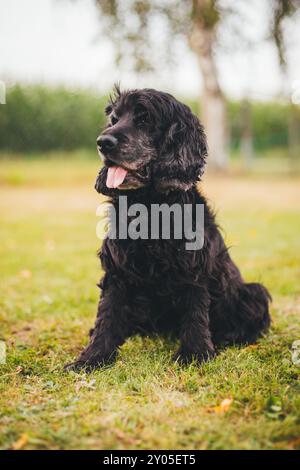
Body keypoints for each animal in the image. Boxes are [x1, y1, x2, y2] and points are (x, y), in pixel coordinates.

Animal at [64, 85, 270, 370]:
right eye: (114, 119)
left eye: (144, 119)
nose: (103, 142)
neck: (150, 209)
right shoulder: (117, 271)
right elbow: (107, 315)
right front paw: (92, 358)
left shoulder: (194, 270)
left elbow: (195, 313)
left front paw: (195, 354)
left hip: (253, 292)